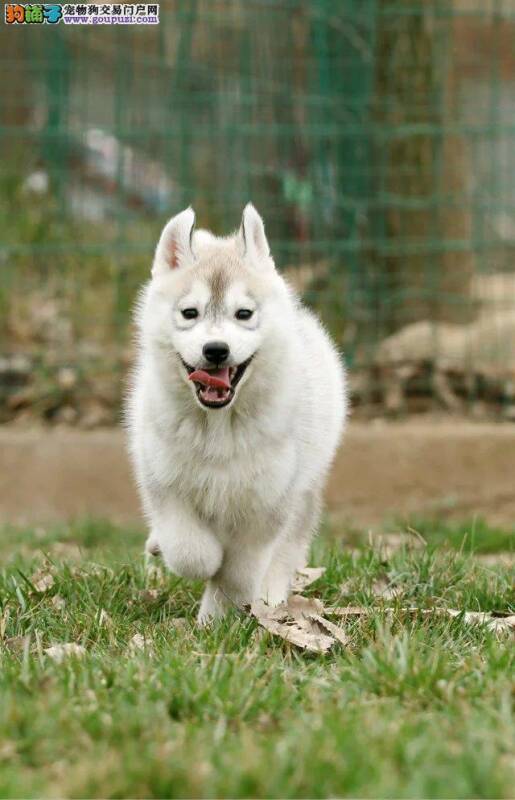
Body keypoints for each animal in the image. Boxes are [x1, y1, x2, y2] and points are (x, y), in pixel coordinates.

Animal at [127, 203, 348, 620]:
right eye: (190, 312)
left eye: (243, 314)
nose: (216, 350)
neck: (218, 425)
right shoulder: (165, 483)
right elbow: (192, 552)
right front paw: (199, 562)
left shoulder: (267, 504)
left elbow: (238, 571)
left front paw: (217, 618)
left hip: (303, 491)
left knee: (284, 554)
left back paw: (271, 599)